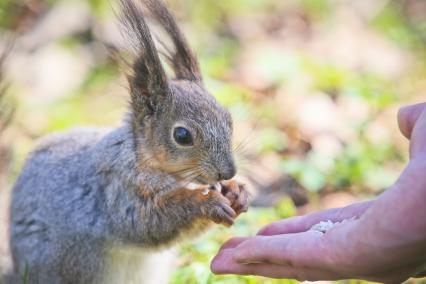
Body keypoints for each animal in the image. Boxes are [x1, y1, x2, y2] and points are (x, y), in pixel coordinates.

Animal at [7, 0, 250, 284]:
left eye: (228, 118)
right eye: (182, 135)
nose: (228, 171)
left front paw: (237, 191)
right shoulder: (116, 191)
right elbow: (147, 222)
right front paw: (206, 203)